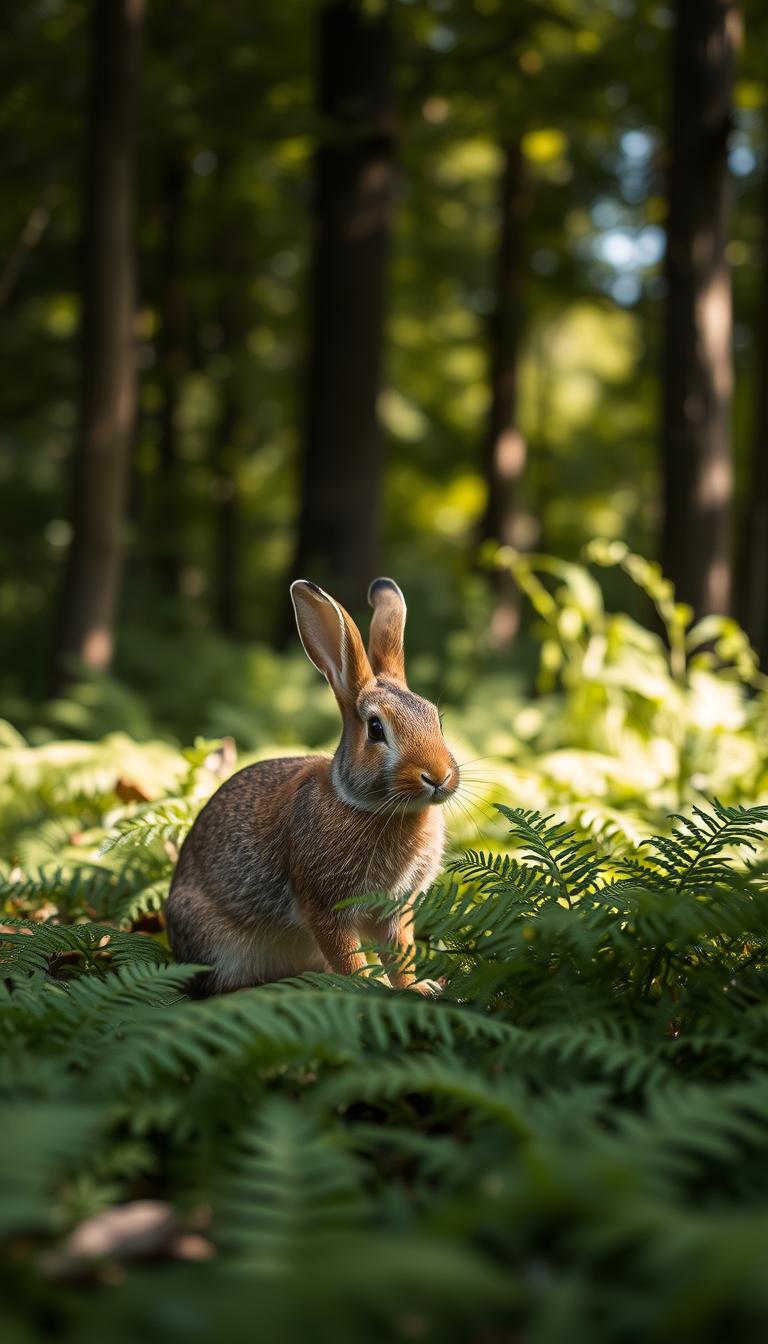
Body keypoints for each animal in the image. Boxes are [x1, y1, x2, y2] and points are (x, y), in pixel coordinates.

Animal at [165, 577, 459, 996]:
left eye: (437, 720)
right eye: (376, 729)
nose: (438, 776)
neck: (368, 807)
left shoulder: (394, 910)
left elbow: (400, 953)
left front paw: (418, 989)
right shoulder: (324, 906)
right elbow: (348, 957)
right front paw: (368, 989)